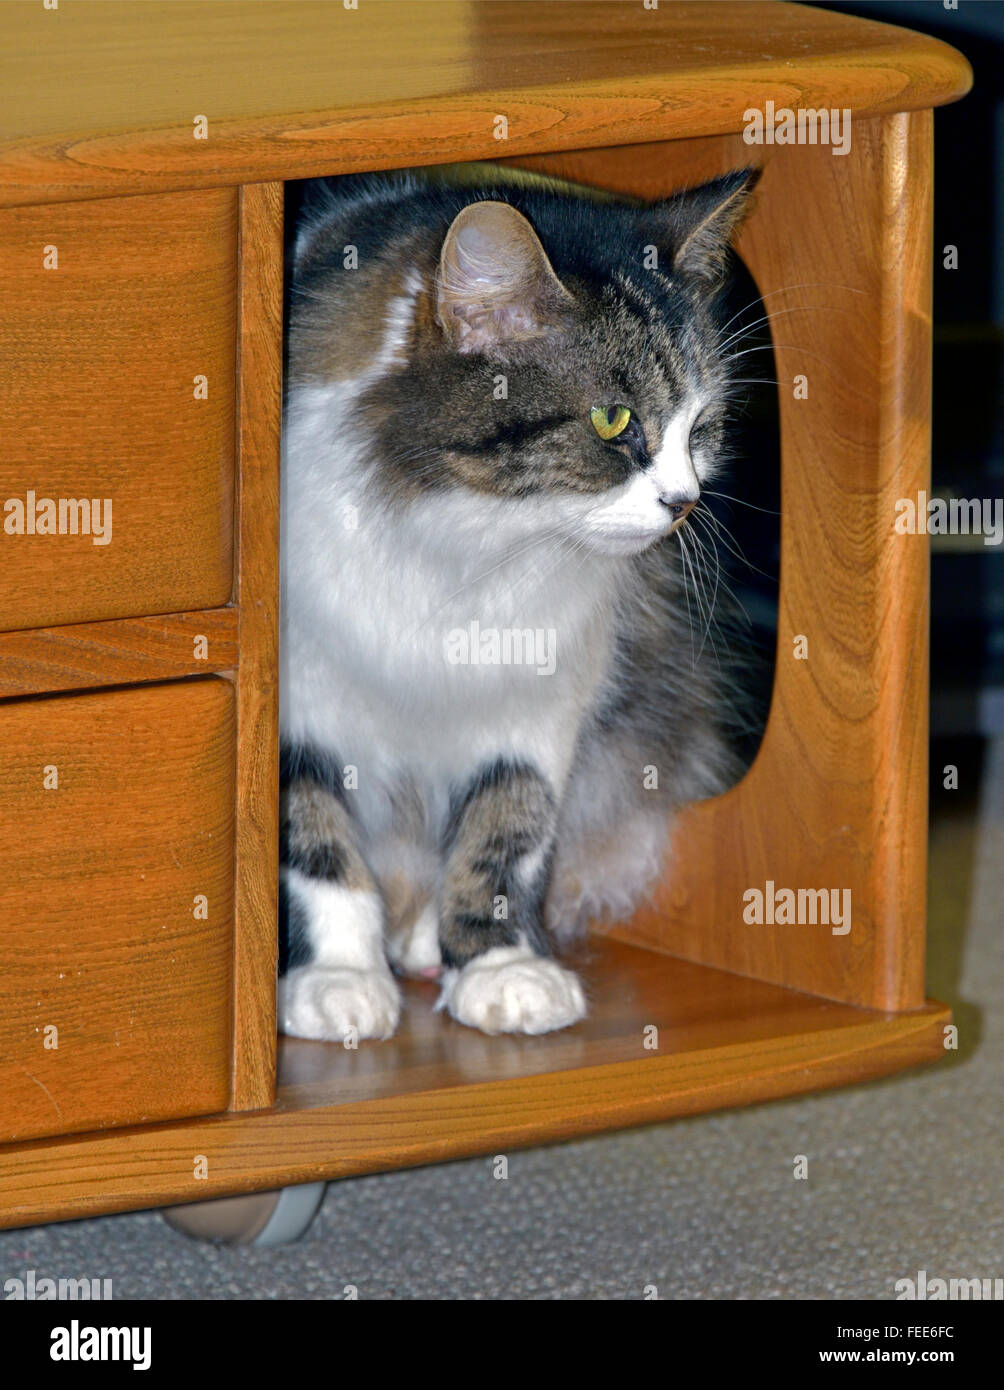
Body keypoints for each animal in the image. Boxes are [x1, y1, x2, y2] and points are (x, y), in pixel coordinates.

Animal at [278, 165, 756, 1045]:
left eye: (701, 427)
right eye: (614, 419)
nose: (684, 502)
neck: (474, 547)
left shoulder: (533, 709)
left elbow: (504, 833)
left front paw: (500, 968)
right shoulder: (303, 705)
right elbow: (319, 851)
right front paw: (337, 980)